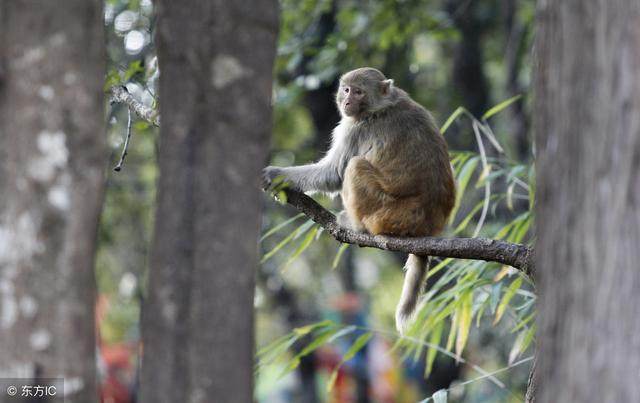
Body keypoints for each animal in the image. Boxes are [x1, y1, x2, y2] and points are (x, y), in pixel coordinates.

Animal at [264, 68, 456, 334]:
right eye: (346, 89)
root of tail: (426, 227)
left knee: (354, 166)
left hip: (387, 213)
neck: (381, 104)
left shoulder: (353, 129)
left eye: (358, 92)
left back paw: (356, 225)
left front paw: (278, 175)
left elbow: (332, 174)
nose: (347, 101)